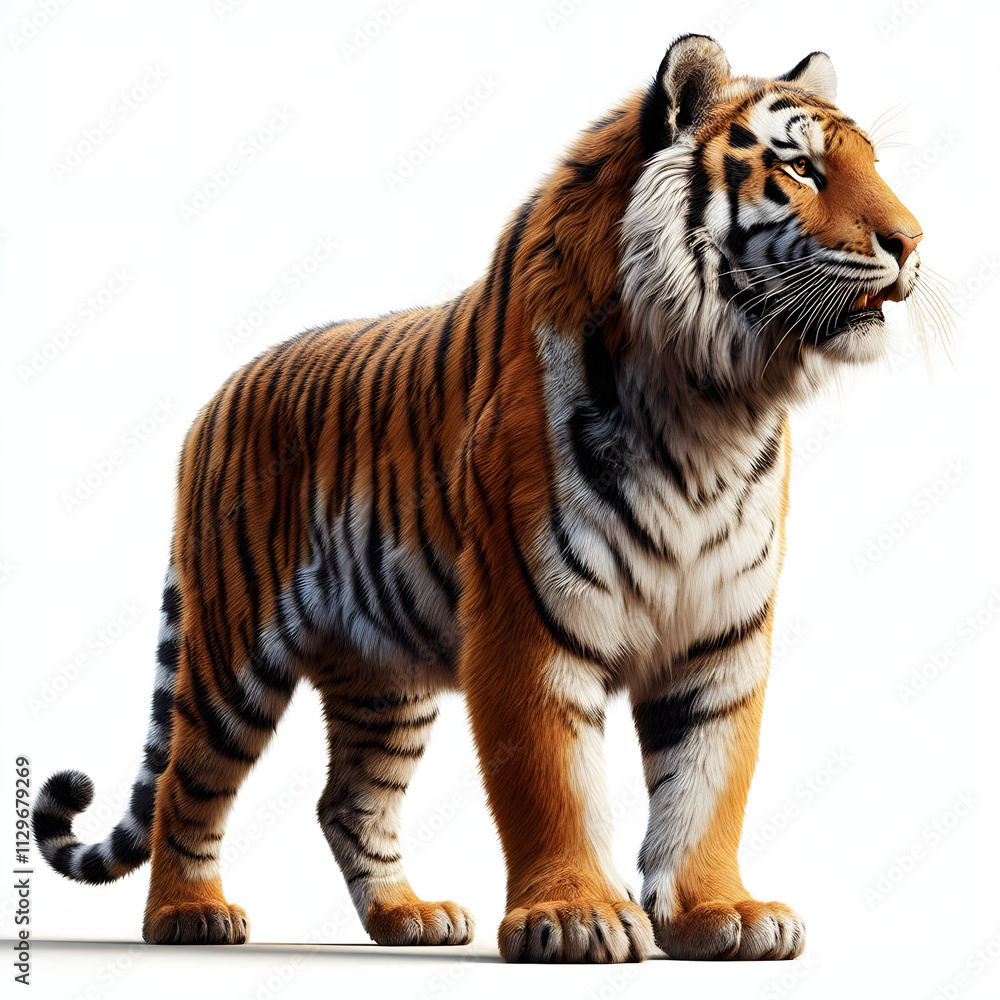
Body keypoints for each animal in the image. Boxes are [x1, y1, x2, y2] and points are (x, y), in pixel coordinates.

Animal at [33, 34, 937, 963]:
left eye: (870, 163)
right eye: (800, 168)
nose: (912, 241)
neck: (712, 402)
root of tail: (215, 400)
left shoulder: (721, 632)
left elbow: (711, 780)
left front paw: (721, 913)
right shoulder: (528, 618)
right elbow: (552, 780)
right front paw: (577, 917)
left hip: (384, 678)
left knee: (348, 799)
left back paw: (408, 918)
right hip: (231, 650)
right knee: (188, 780)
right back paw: (188, 915)